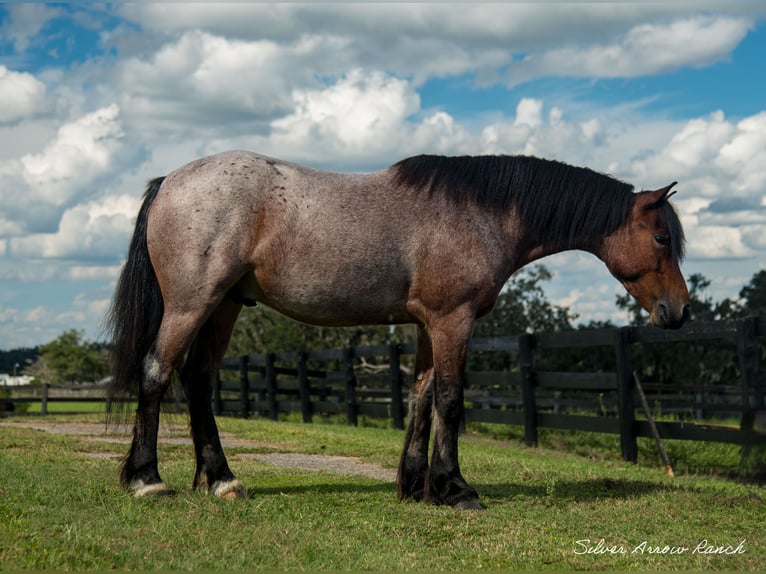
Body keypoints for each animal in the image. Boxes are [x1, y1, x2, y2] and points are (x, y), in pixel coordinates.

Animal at [106, 152, 688, 508]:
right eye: (662, 238)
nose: (679, 311)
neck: (480, 214)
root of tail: (169, 181)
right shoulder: (453, 320)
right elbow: (450, 399)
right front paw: (456, 488)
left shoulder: (430, 324)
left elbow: (421, 396)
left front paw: (416, 485)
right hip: (192, 304)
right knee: (156, 371)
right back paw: (148, 479)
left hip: (225, 306)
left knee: (198, 380)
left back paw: (222, 480)